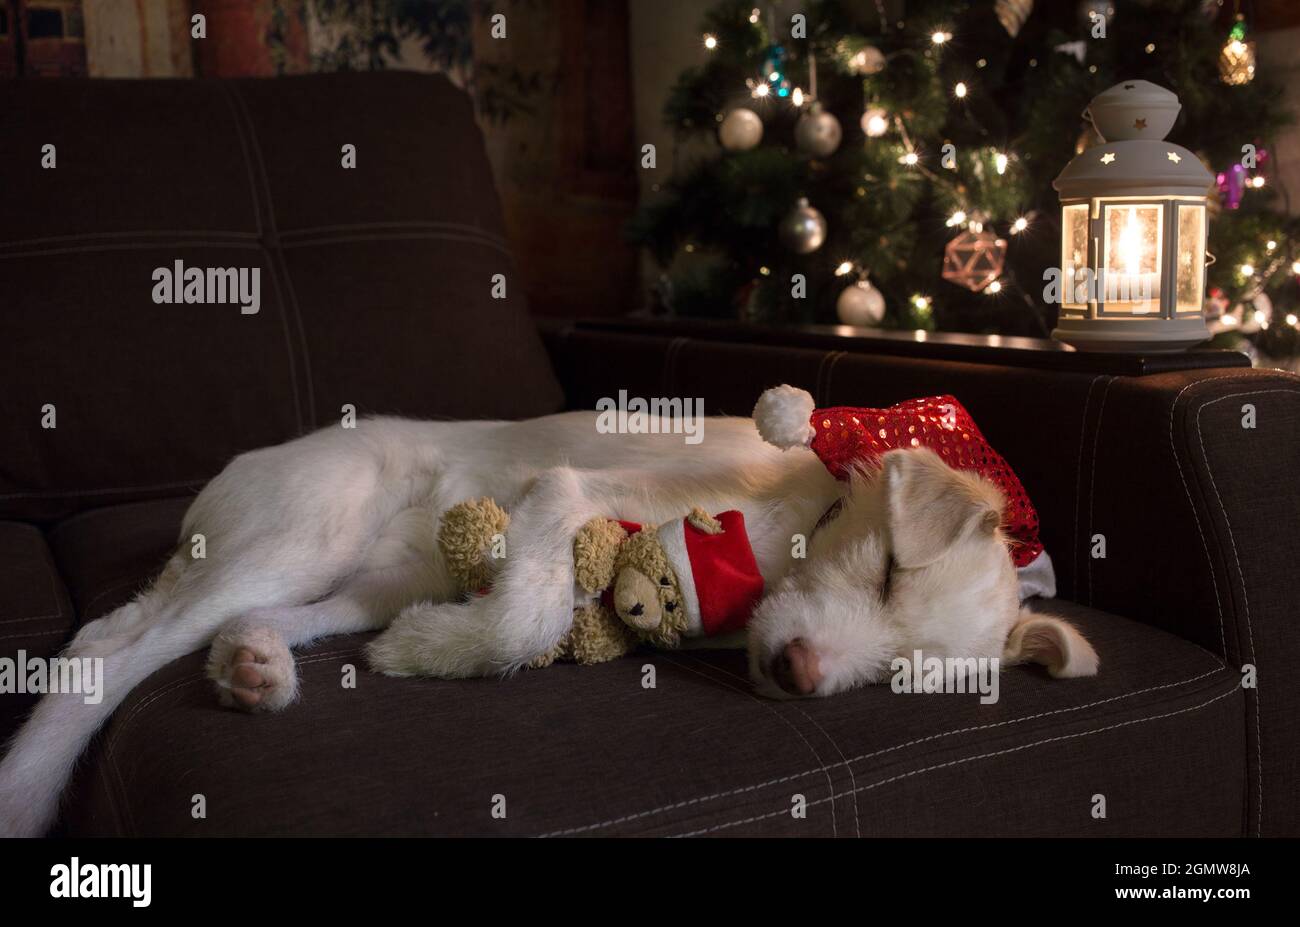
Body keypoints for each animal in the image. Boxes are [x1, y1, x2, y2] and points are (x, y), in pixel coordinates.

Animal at [0, 397, 1097, 832]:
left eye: (894, 674)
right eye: (886, 575)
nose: (798, 676)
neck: (801, 511)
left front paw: (431, 644)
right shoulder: (573, 490)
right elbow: (525, 616)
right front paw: (449, 645)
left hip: (360, 575)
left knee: (201, 625)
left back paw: (254, 663)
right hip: (304, 529)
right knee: (108, 651)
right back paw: (26, 789)